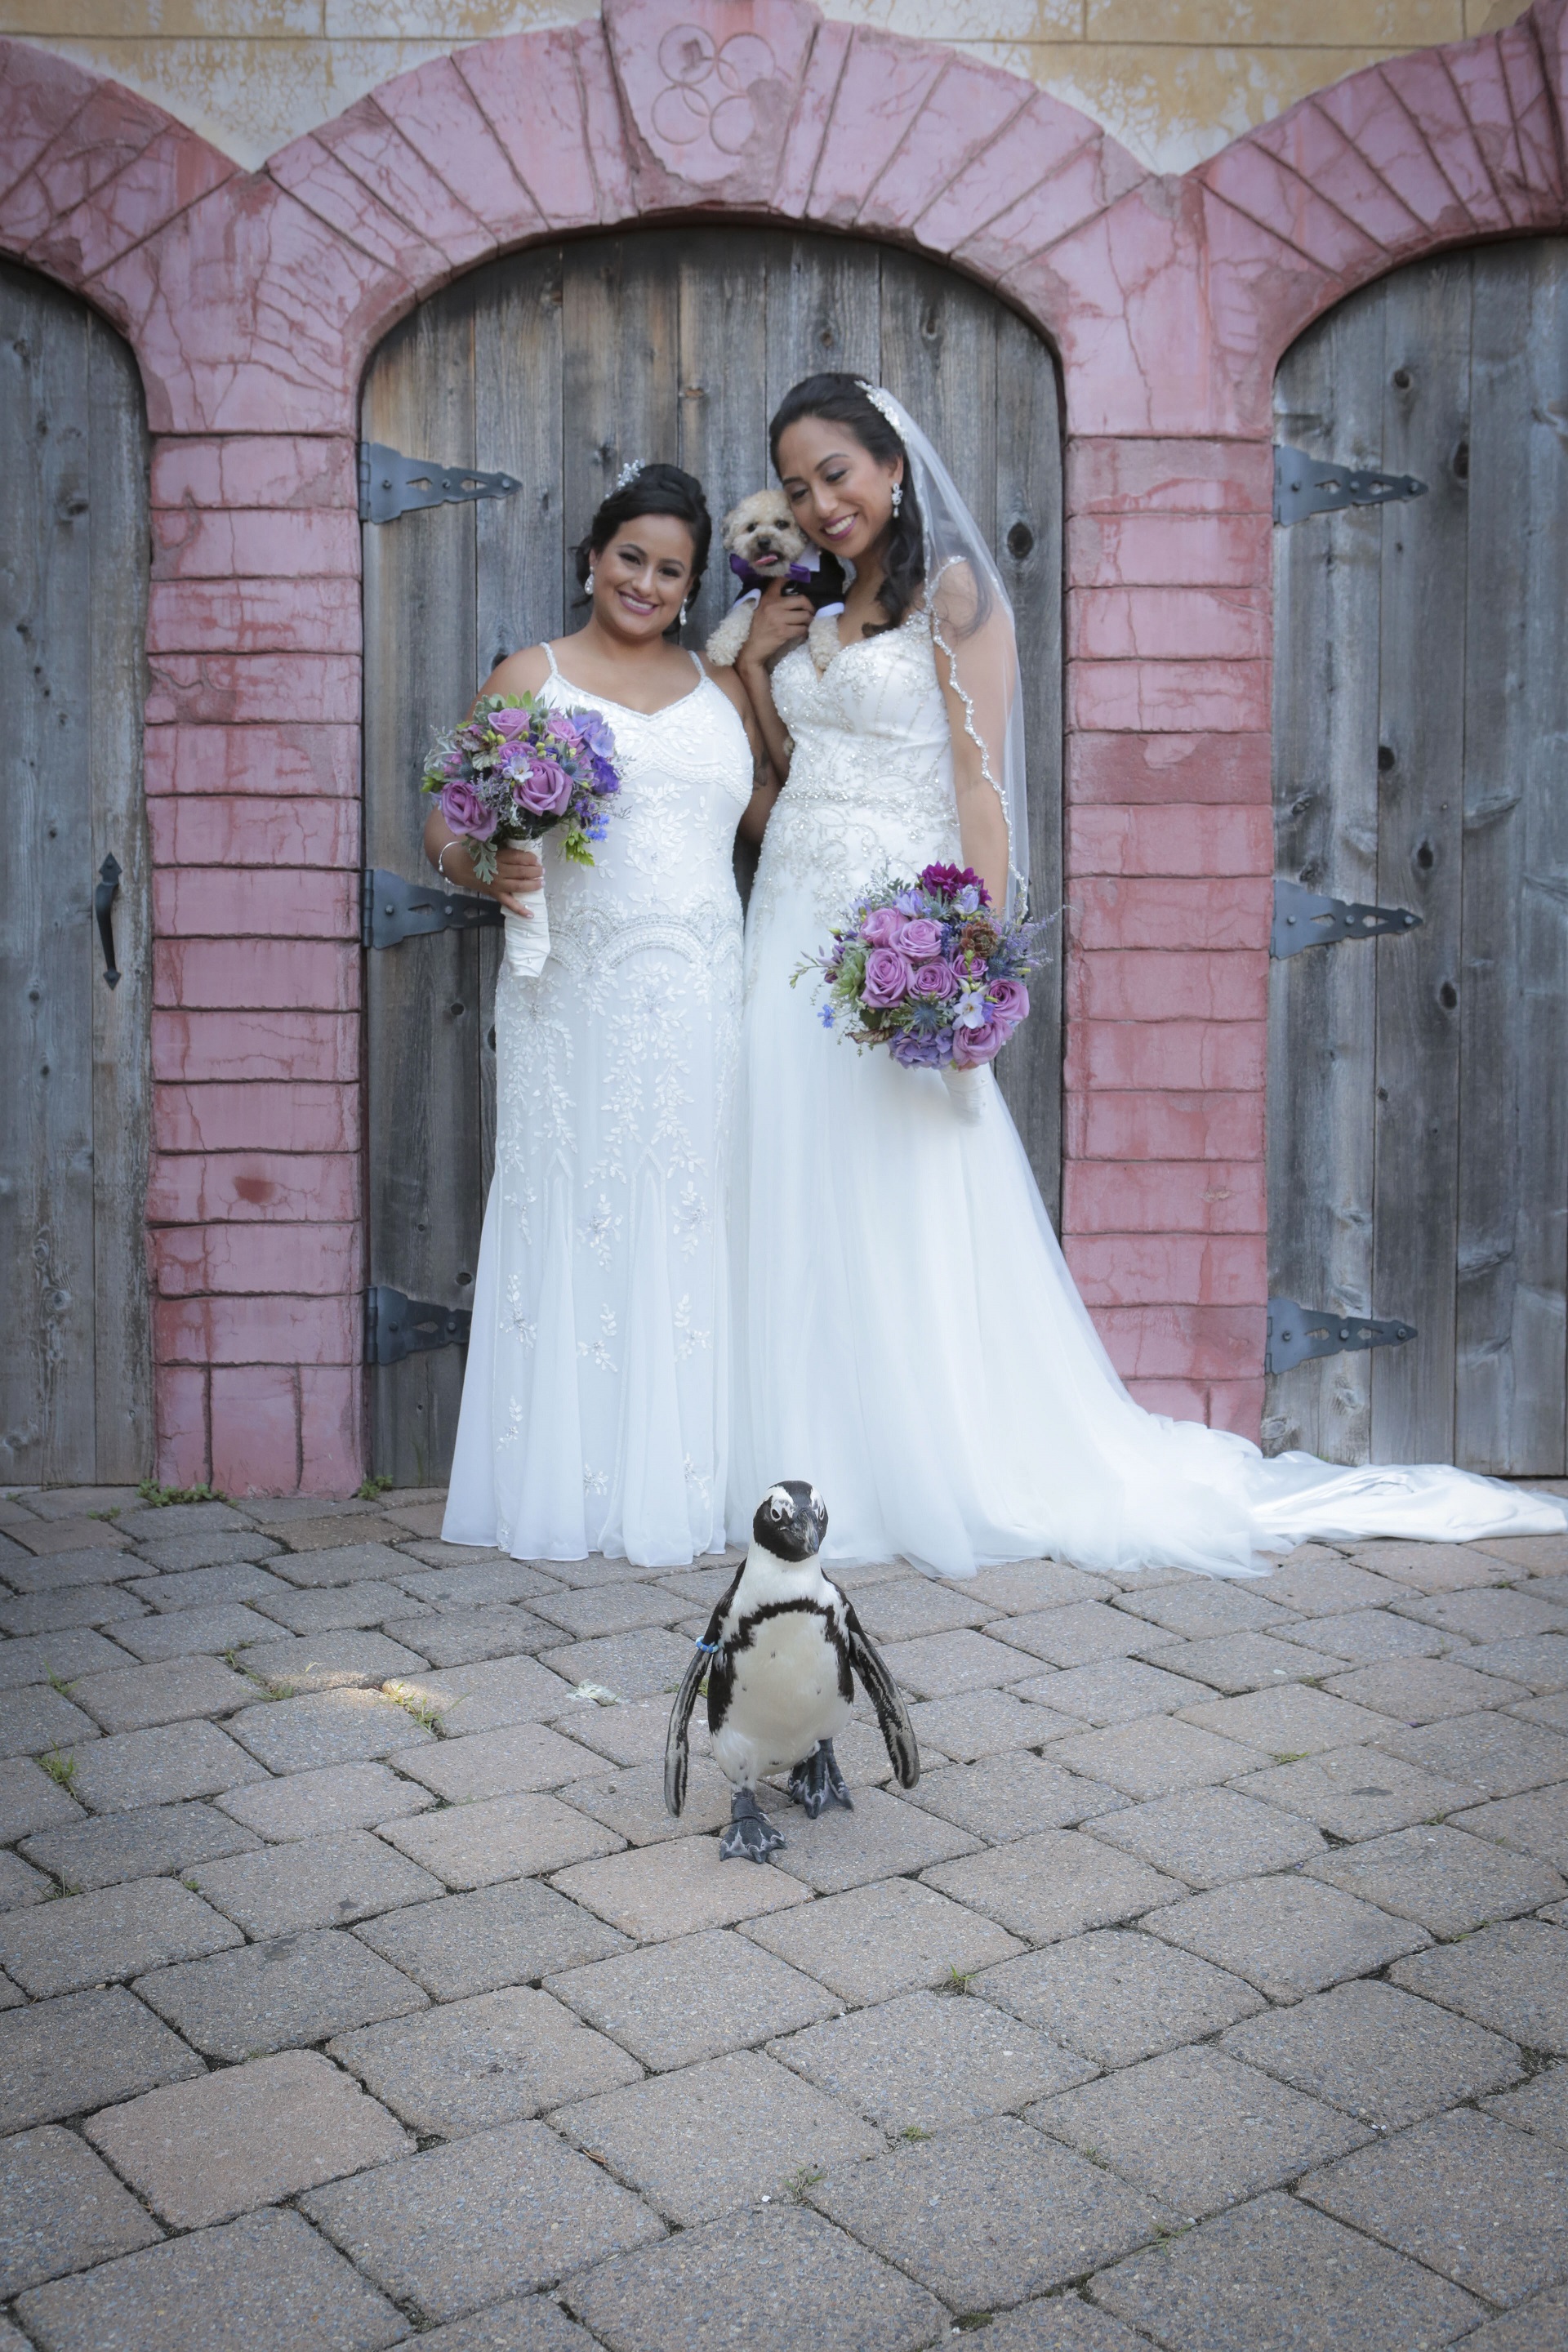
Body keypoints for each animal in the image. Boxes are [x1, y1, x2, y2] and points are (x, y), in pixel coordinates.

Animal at [700, 491, 841, 677]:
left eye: (782, 524)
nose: (763, 541)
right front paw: (721, 647)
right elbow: (737, 615)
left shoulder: (829, 591)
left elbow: (824, 621)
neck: (785, 571)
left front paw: (826, 651)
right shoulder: (751, 587)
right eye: (751, 527)